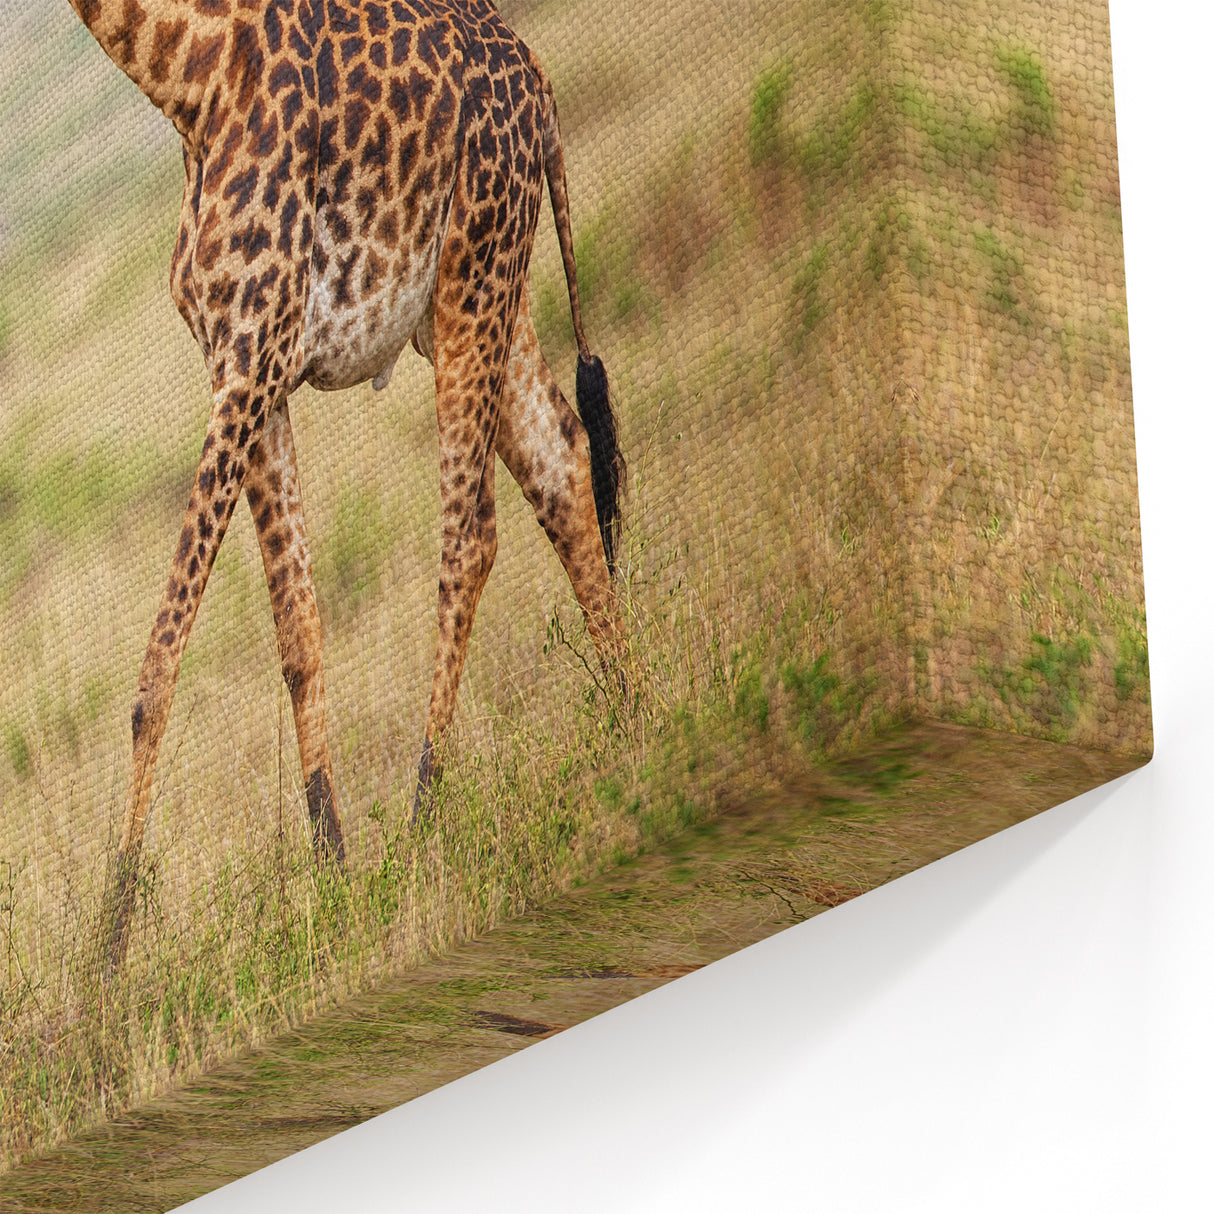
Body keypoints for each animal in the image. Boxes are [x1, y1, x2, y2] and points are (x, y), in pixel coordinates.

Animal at [67, 0, 625, 972]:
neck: (187, 75)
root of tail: (540, 76)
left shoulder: (252, 355)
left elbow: (157, 668)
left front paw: (108, 961)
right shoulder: (246, 369)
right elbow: (297, 628)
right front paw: (332, 878)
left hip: (473, 277)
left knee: (470, 531)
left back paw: (425, 819)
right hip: (478, 297)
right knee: (561, 462)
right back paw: (640, 716)